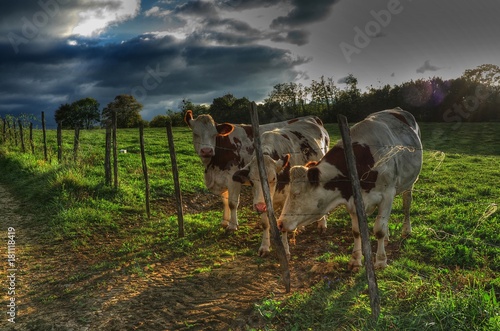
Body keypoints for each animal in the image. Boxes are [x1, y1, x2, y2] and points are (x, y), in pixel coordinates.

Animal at [232, 118, 330, 258]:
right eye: (251, 181)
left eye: (273, 178)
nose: (259, 206)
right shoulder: (263, 201)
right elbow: (265, 224)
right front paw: (264, 247)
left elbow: (282, 225)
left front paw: (285, 249)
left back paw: (322, 225)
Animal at [278, 107, 422, 272]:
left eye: (297, 194)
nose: (280, 223)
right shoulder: (353, 201)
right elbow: (357, 231)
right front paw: (355, 259)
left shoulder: (387, 195)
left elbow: (379, 230)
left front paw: (380, 261)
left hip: (410, 183)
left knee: (406, 205)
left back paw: (406, 230)